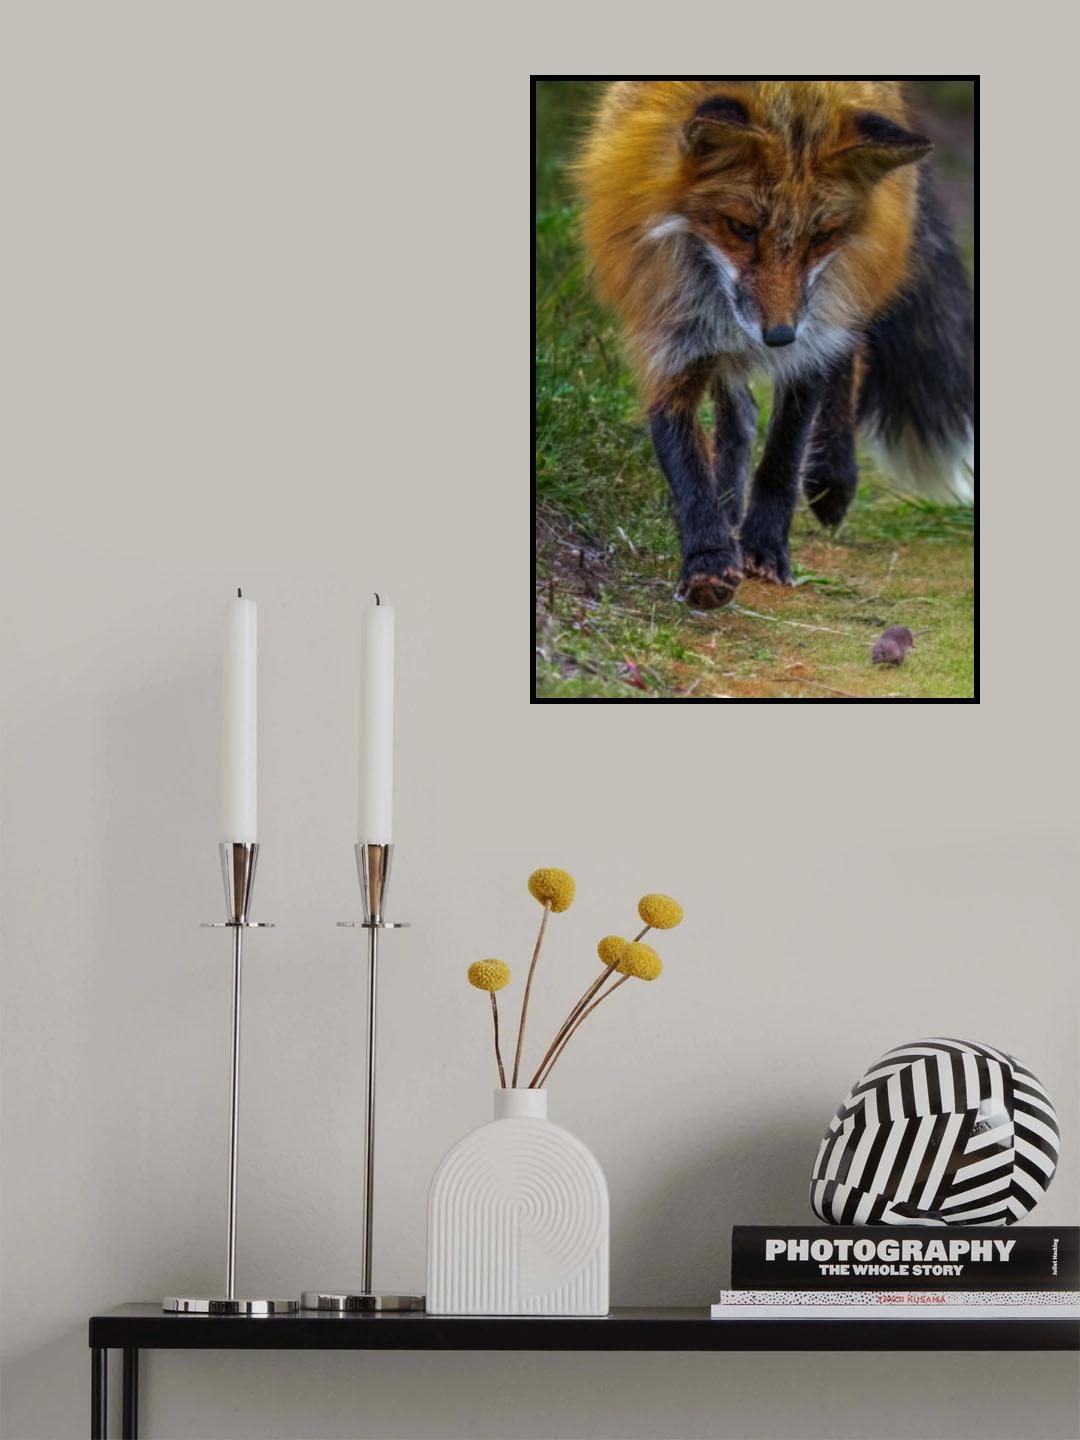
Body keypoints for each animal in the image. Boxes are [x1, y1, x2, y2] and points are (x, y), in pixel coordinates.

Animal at [578, 80, 974, 609]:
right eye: (741, 228)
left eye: (821, 236)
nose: (780, 336)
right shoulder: (668, 335)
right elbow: (683, 456)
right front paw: (707, 557)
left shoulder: (811, 338)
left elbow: (784, 453)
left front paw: (765, 545)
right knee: (741, 411)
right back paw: (729, 501)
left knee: (848, 355)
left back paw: (833, 478)